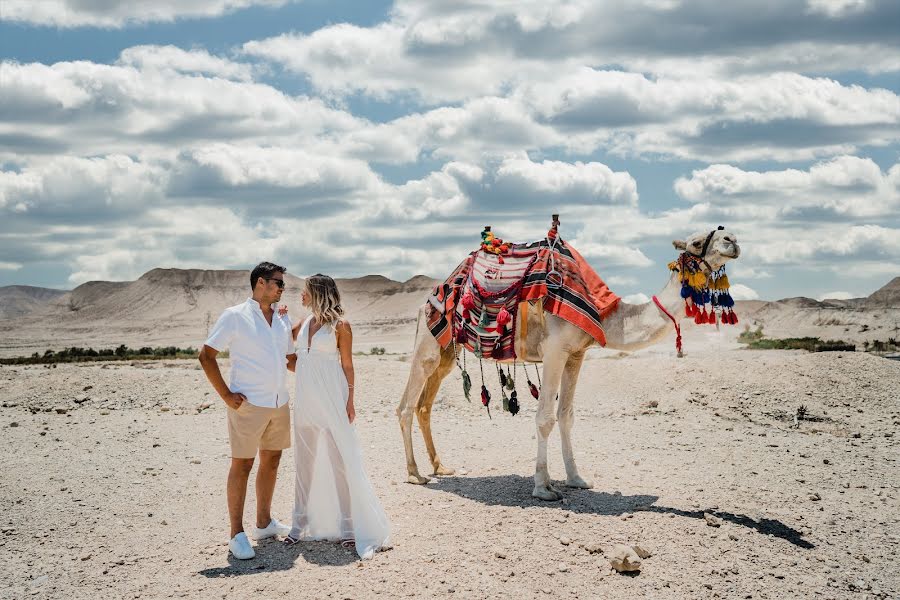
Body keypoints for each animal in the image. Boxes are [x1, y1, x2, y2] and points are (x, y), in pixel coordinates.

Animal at [398, 218, 740, 500]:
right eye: (696, 242)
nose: (732, 239)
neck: (604, 312)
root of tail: (434, 292)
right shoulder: (555, 351)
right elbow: (545, 418)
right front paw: (543, 487)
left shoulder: (576, 355)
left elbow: (566, 416)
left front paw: (576, 478)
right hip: (428, 342)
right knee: (406, 406)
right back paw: (415, 474)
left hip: (447, 352)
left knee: (424, 406)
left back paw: (440, 468)